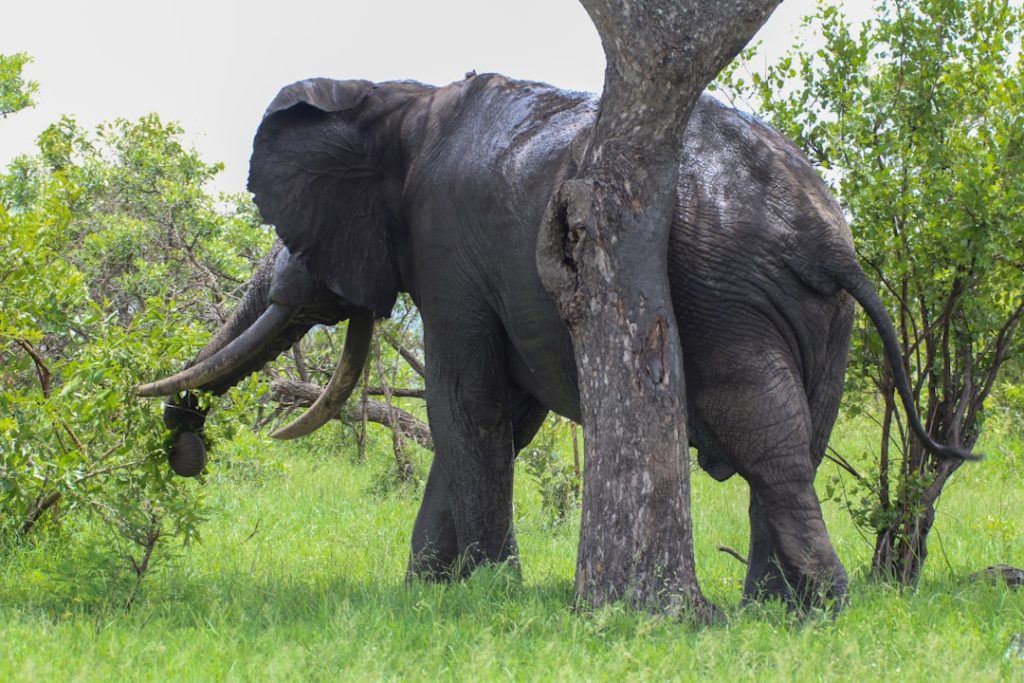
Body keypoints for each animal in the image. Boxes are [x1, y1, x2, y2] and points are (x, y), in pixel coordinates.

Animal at [139, 73, 971, 608]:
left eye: (294, 235)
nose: (184, 438)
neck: (400, 99)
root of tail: (832, 244)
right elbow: (504, 420)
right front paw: (430, 591)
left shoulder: (447, 250)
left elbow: (465, 406)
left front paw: (483, 592)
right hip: (822, 318)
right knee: (802, 433)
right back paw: (775, 610)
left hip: (725, 289)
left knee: (768, 437)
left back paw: (821, 606)